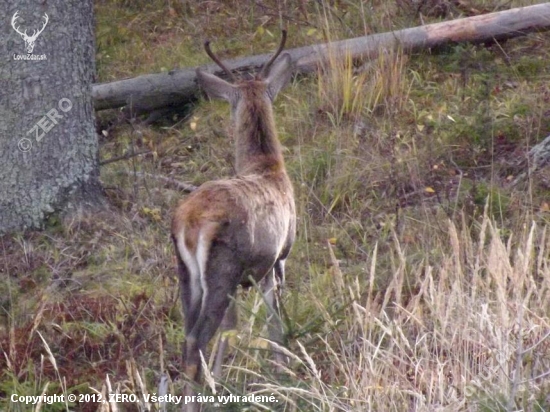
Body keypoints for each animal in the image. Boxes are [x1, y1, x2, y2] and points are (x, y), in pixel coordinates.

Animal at [172, 31, 298, 408]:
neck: (267, 168)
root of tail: (189, 223)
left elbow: (235, 328)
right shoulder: (278, 258)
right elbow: (273, 320)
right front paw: (283, 373)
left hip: (187, 277)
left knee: (188, 335)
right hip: (222, 270)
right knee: (198, 338)